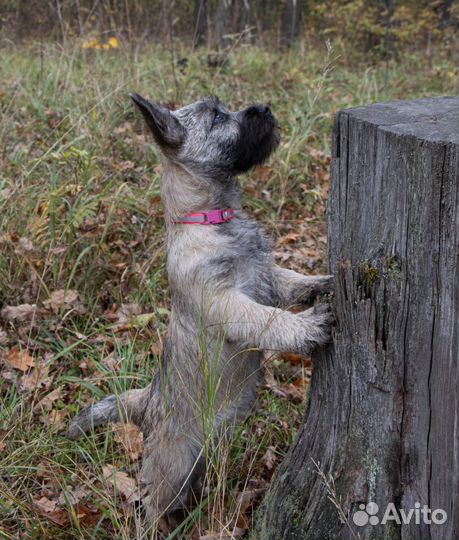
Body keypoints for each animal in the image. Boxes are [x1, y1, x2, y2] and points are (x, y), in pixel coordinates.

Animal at [67, 95, 334, 528]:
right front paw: (307, 327)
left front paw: (324, 282)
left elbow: (293, 280)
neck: (211, 220)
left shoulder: (267, 279)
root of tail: (146, 402)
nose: (264, 108)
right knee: (151, 503)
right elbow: (268, 319)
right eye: (217, 117)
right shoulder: (227, 300)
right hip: (172, 466)